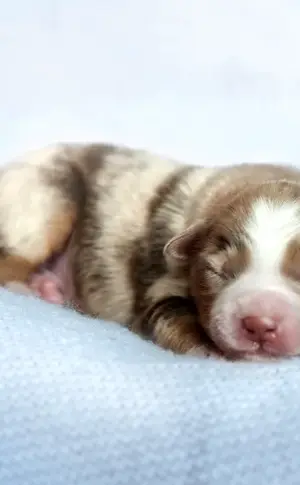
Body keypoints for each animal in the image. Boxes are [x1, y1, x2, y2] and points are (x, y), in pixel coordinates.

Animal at [1, 140, 300, 360]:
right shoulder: (162, 285)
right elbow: (172, 317)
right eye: (219, 272)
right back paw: (33, 290)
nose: (259, 324)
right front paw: (211, 352)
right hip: (45, 199)